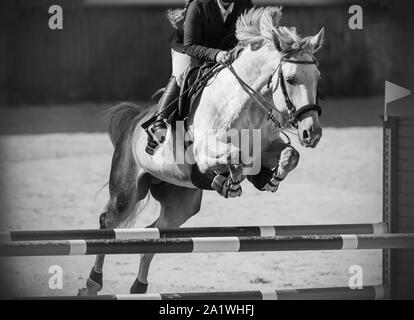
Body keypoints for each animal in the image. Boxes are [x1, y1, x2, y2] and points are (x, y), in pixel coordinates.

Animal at [79, 6, 326, 296]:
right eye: (290, 79)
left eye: (317, 78)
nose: (312, 133)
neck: (244, 104)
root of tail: (135, 119)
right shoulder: (206, 153)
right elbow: (236, 158)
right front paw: (230, 183)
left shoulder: (267, 148)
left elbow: (289, 155)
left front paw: (269, 179)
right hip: (126, 191)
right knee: (108, 223)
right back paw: (93, 283)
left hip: (181, 203)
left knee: (157, 232)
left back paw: (139, 287)